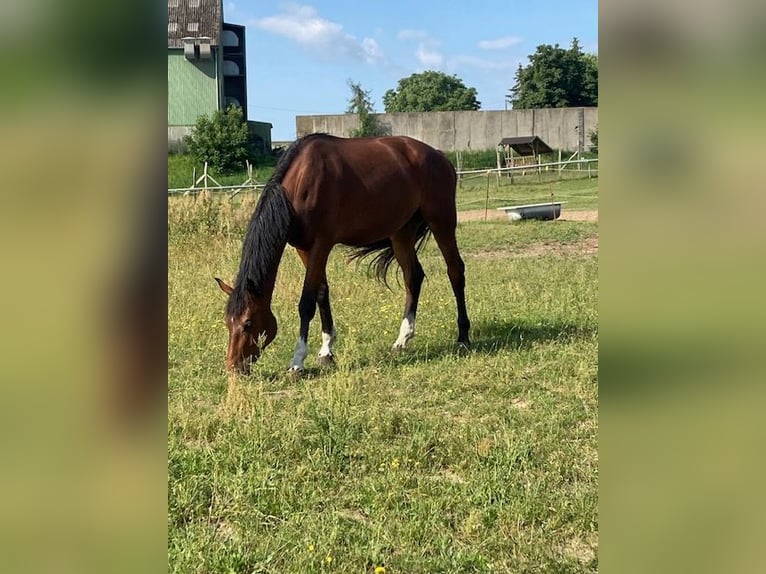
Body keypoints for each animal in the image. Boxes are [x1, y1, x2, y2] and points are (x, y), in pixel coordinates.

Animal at [213, 136, 472, 378]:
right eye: (227, 322)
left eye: (248, 323)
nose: (233, 367)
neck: (301, 184)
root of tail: (440, 156)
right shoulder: (303, 248)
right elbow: (321, 292)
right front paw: (326, 351)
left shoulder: (321, 244)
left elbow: (306, 303)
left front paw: (298, 361)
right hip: (400, 231)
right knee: (413, 277)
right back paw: (402, 340)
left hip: (441, 220)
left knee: (455, 271)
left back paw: (463, 337)